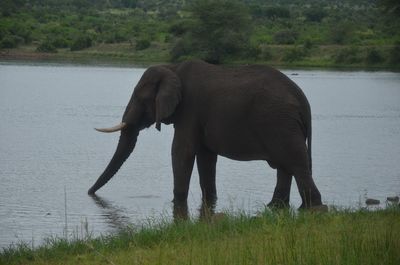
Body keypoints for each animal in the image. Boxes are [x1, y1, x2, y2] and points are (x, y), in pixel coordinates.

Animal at [88, 59, 324, 212]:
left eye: (140, 98)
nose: (90, 193)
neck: (172, 69)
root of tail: (304, 101)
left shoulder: (190, 109)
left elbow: (181, 151)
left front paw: (177, 203)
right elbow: (206, 157)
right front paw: (209, 203)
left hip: (280, 124)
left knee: (296, 163)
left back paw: (312, 208)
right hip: (283, 125)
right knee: (285, 166)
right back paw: (276, 207)